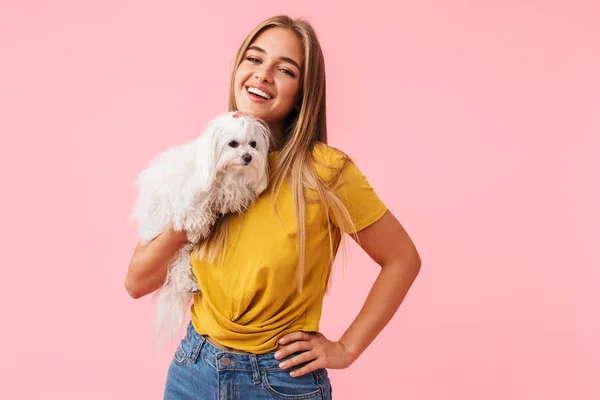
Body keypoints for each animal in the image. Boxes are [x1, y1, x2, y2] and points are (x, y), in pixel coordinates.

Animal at [133, 111, 272, 344]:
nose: (248, 157)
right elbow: (195, 207)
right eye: (233, 144)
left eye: (253, 144)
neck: (225, 175)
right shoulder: (186, 195)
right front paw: (199, 222)